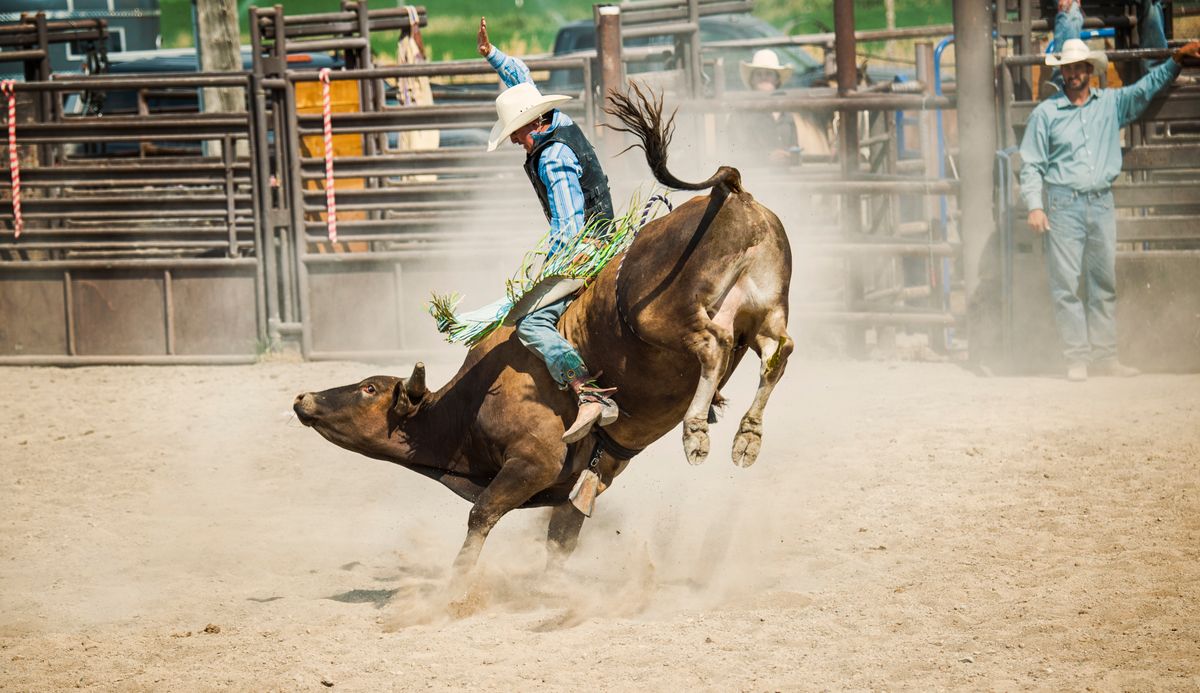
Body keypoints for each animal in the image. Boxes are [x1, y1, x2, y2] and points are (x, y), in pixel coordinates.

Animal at [295, 85, 792, 570]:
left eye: (369, 388)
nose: (303, 398)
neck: (469, 404)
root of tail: (734, 194)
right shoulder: (589, 478)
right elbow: (561, 540)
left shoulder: (534, 461)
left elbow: (482, 516)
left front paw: (455, 588)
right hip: (767, 310)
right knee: (776, 353)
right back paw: (746, 438)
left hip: (662, 318)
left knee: (714, 345)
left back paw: (695, 433)